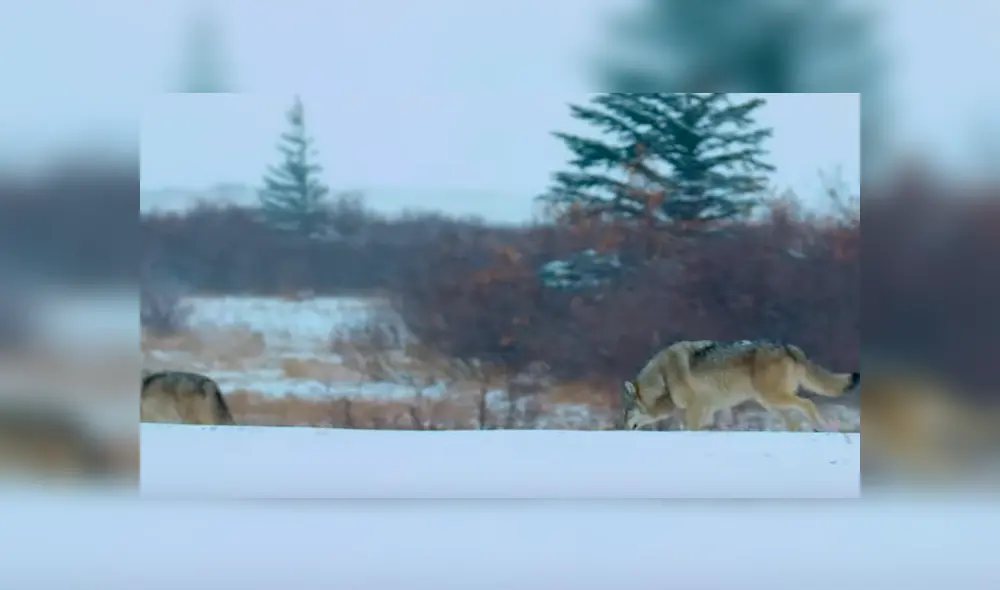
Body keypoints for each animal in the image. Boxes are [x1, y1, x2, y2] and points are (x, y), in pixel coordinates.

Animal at [621, 339, 859, 431]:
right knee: (792, 422)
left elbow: (689, 429)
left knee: (808, 405)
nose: (622, 427)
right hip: (770, 403)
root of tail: (789, 347)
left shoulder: (696, 409)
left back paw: (824, 428)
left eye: (627, 412)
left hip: (773, 399)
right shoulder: (708, 410)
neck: (662, 378)